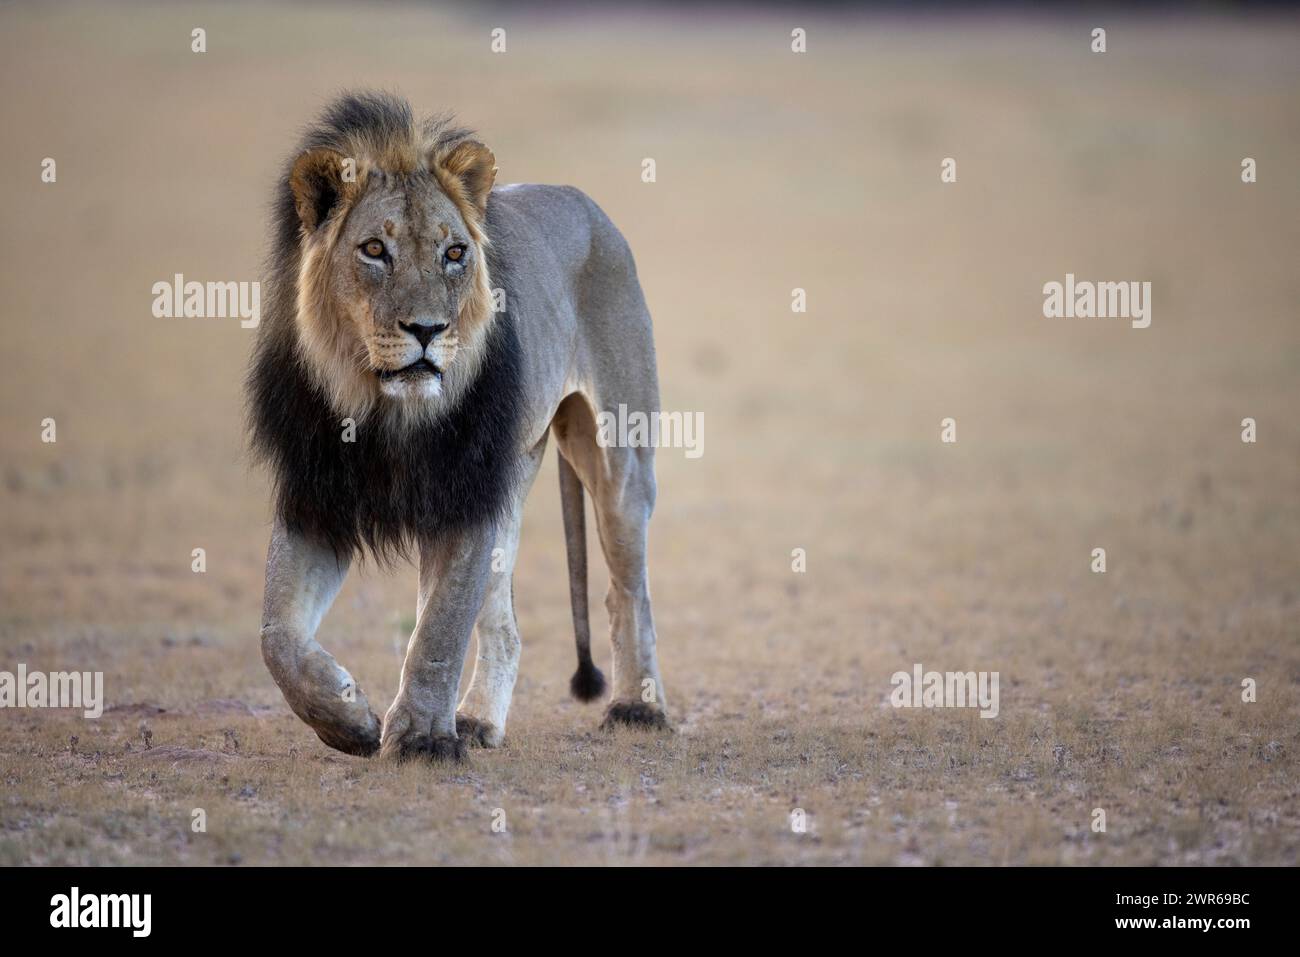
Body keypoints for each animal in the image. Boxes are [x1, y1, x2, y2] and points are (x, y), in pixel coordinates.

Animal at [245, 91, 670, 764]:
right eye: (374, 250)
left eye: (453, 254)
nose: (427, 330)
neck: (386, 410)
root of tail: (584, 202)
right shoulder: (317, 498)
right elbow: (277, 636)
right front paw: (349, 719)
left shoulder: (467, 495)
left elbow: (440, 631)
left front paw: (420, 738)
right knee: (505, 623)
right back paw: (475, 721)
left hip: (619, 460)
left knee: (628, 589)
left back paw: (639, 708)